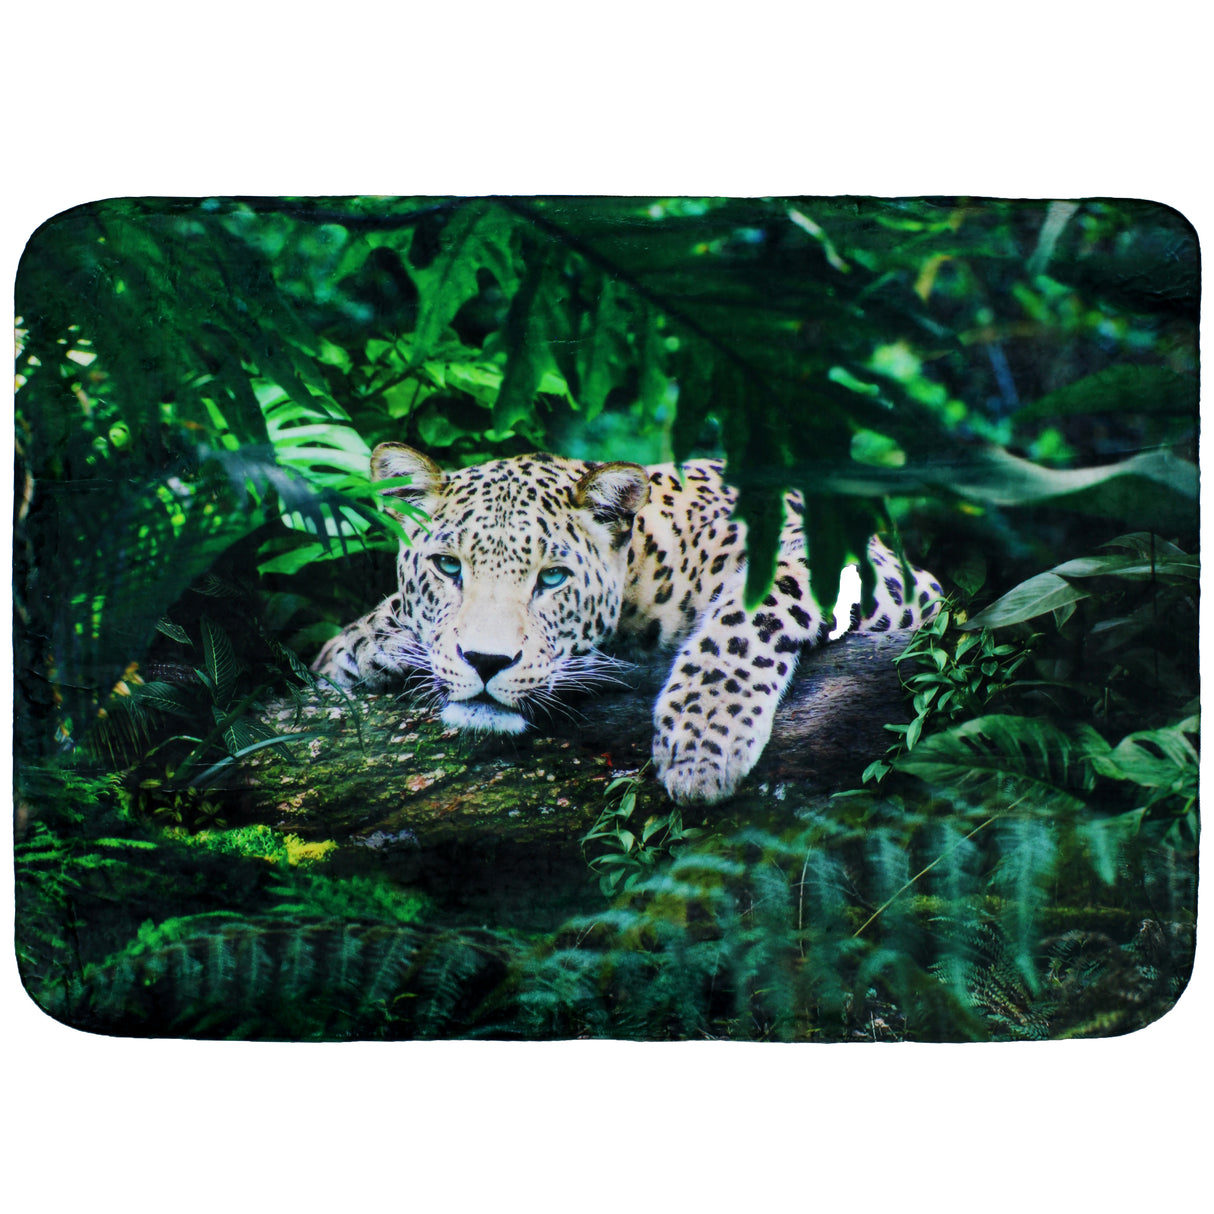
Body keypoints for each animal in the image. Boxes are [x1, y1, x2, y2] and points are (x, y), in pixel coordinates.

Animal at [311, 442, 941, 804]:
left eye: (552, 578)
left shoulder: (897, 581)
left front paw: (702, 740)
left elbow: (752, 608)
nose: (487, 663)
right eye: (448, 567)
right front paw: (363, 646)